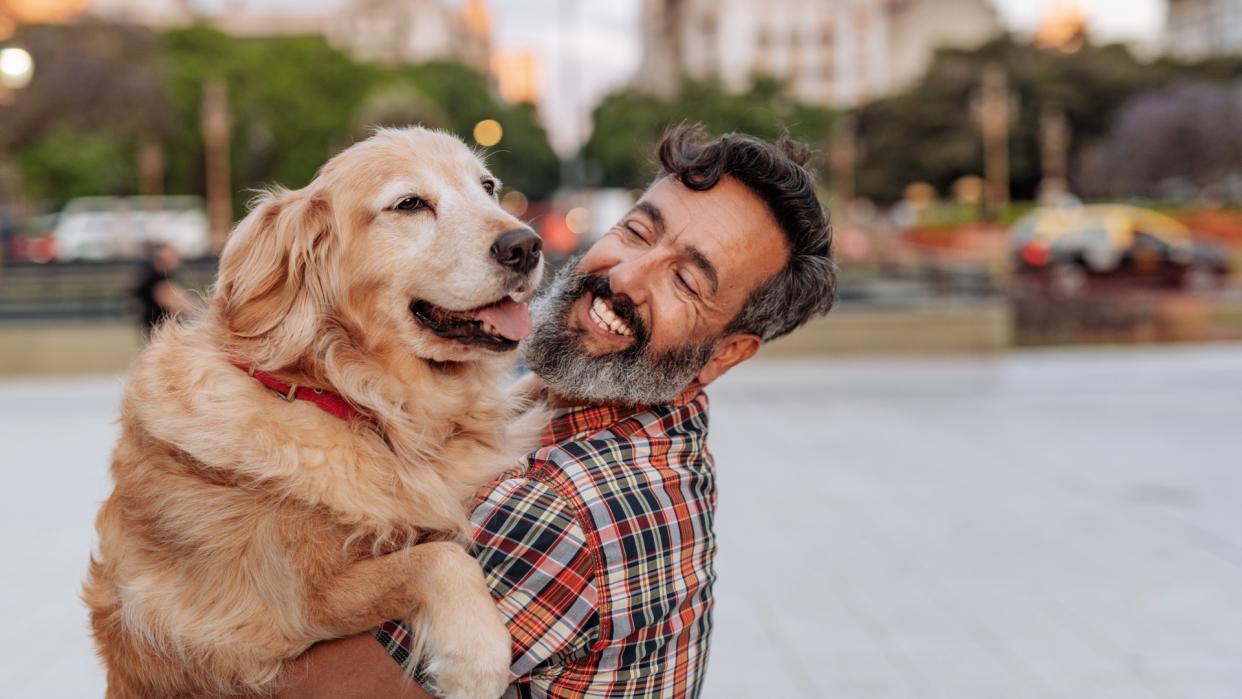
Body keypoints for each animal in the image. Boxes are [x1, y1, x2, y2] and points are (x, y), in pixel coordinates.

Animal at [78, 127, 543, 699]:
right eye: (410, 204)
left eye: (488, 188)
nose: (525, 245)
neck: (349, 397)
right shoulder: (279, 611)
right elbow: (436, 558)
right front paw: (476, 657)